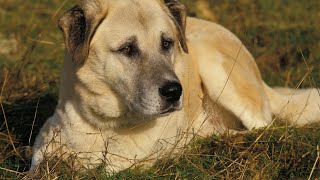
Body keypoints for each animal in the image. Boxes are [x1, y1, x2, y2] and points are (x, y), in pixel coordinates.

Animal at [30, 0, 320, 172]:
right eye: (127, 49)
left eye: (167, 43)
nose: (173, 91)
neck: (108, 127)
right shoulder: (45, 142)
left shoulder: (130, 165)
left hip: (215, 67)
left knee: (265, 128)